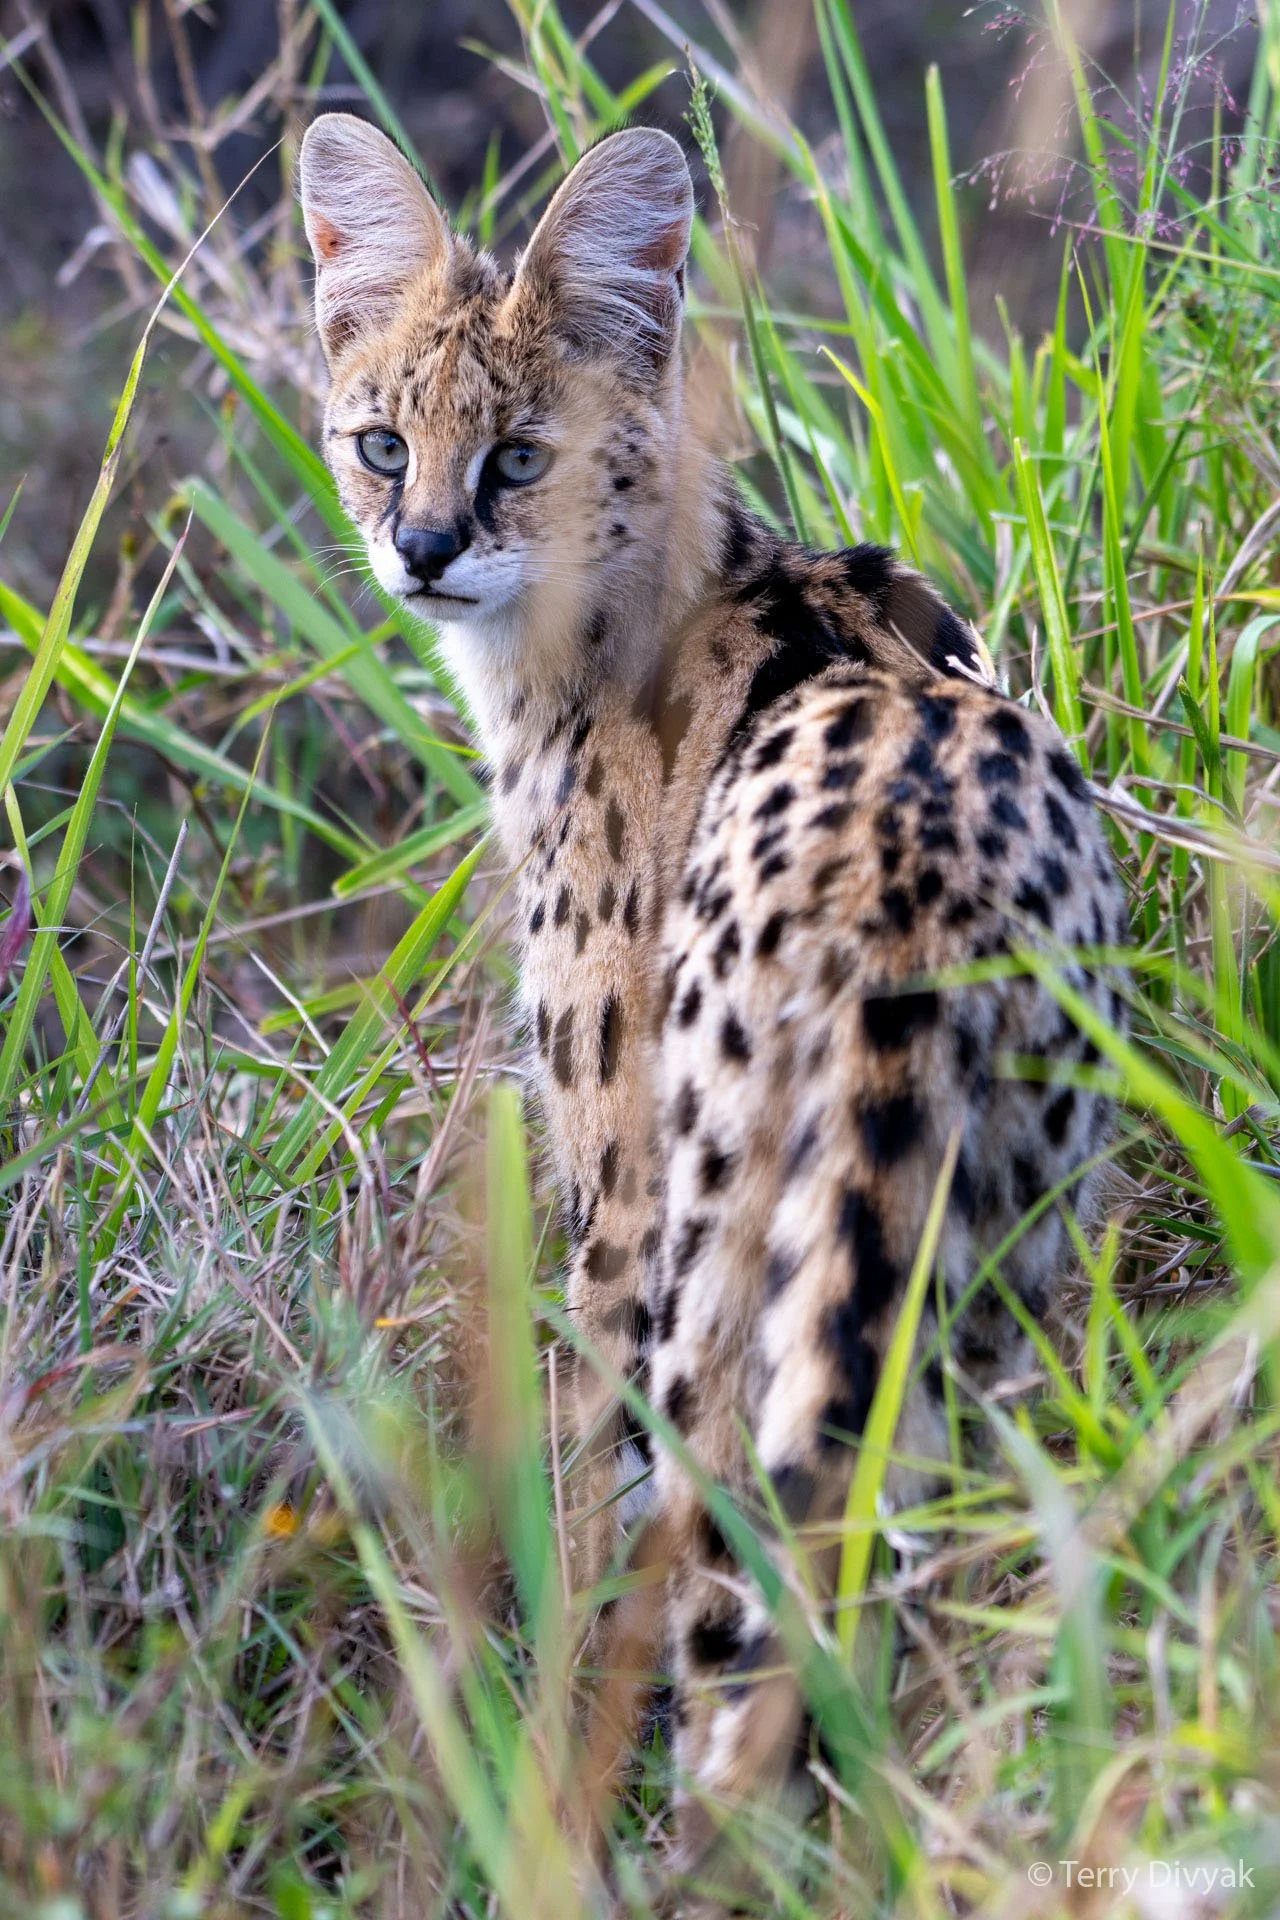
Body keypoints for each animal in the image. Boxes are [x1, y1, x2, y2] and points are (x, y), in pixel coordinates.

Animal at [299, 113, 1129, 1895]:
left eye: (518, 458)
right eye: (384, 445)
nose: (421, 552)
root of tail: (914, 869)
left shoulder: (616, 1196)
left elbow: (577, 1504)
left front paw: (539, 1747)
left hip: (727, 1261)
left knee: (732, 1609)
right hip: (1006, 1256)